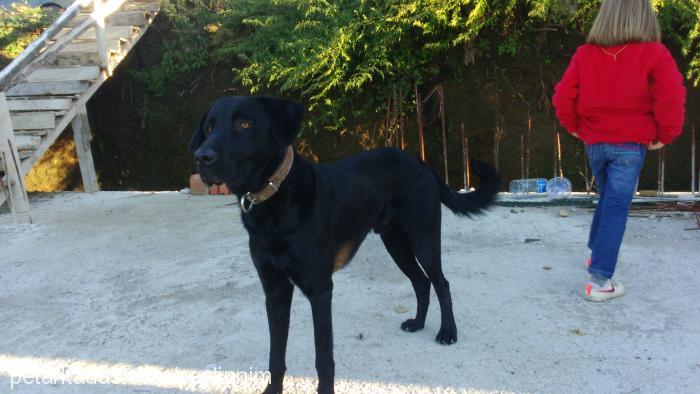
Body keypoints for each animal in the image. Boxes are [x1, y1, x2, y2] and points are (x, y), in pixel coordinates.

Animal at [189, 96, 500, 394]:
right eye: (209, 127)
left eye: (244, 124)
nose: (202, 157)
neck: (276, 200)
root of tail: (420, 162)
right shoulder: (275, 289)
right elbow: (276, 356)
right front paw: (273, 390)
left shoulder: (320, 290)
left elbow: (323, 359)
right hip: (395, 243)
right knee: (421, 282)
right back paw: (418, 323)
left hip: (423, 239)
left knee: (441, 283)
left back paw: (448, 332)